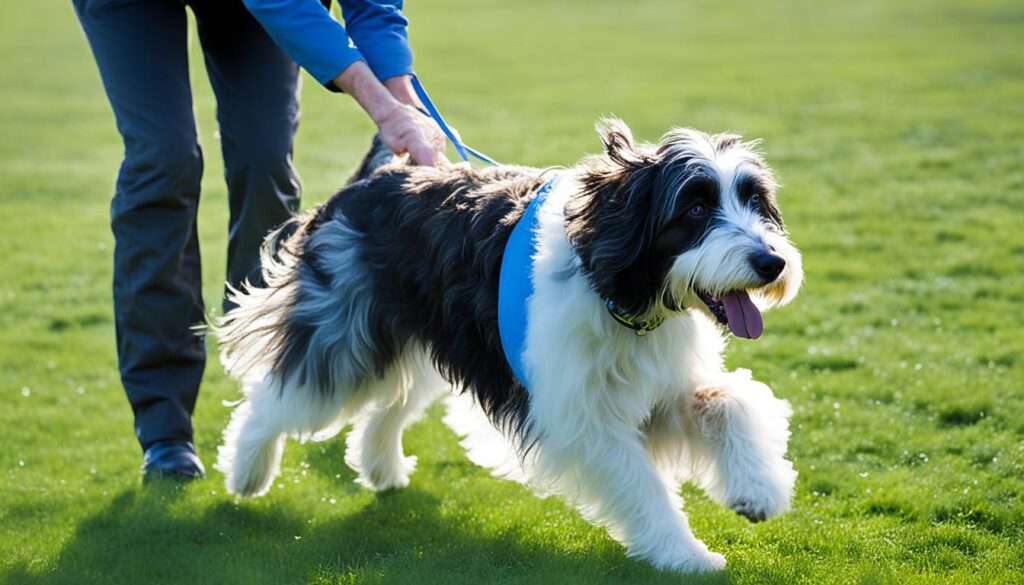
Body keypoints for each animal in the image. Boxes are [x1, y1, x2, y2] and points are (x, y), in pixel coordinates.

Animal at [216, 118, 802, 573]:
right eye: (695, 210)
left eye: (754, 201)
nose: (772, 263)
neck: (613, 279)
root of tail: (374, 178)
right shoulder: (579, 416)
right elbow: (641, 483)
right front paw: (685, 554)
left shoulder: (658, 382)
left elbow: (728, 402)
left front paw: (759, 489)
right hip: (343, 328)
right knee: (281, 397)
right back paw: (247, 472)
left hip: (422, 341)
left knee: (389, 404)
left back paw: (381, 469)